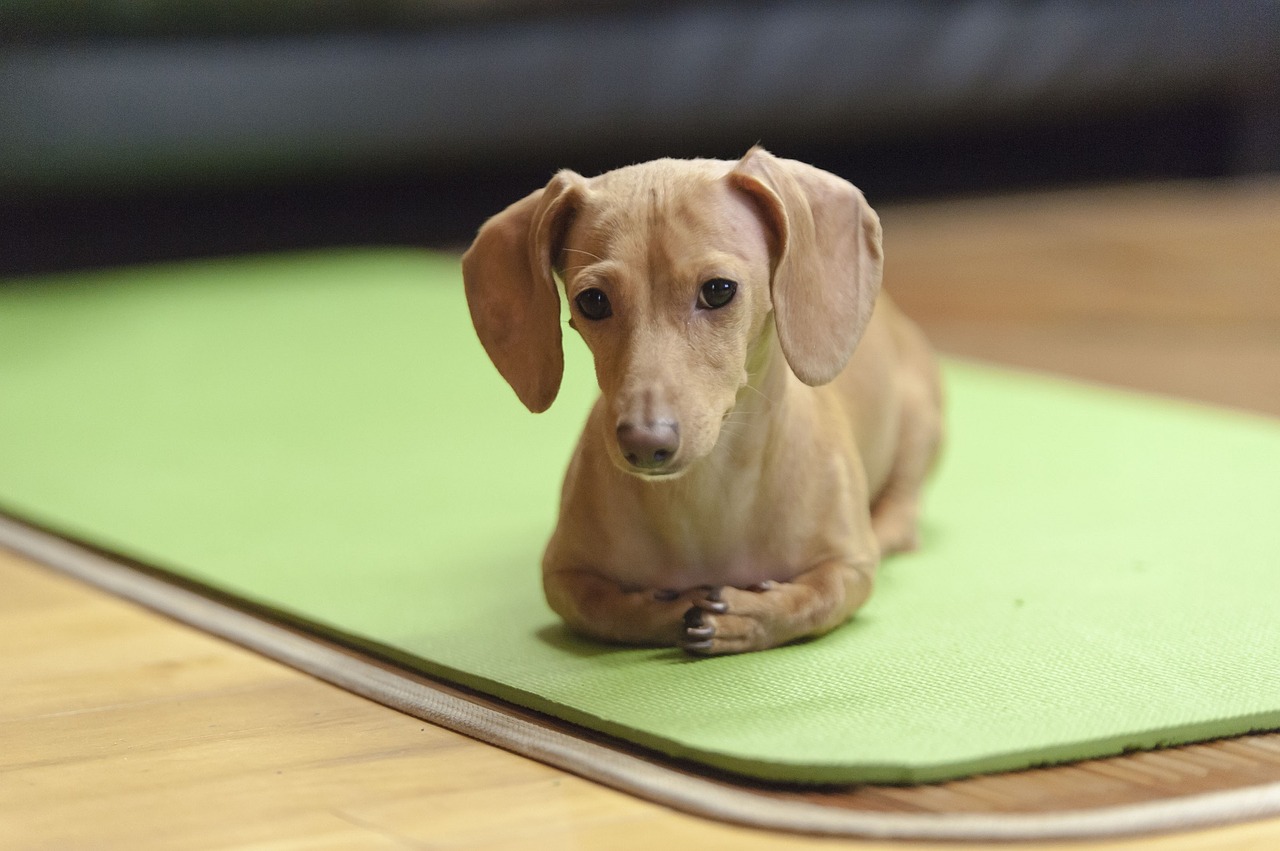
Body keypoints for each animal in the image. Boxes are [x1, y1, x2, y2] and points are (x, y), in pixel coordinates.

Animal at [460, 145, 942, 652]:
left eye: (718, 290)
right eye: (591, 301)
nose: (644, 443)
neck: (708, 491)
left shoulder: (849, 568)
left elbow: (817, 599)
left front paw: (751, 616)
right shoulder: (561, 576)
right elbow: (605, 610)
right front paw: (667, 609)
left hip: (921, 422)